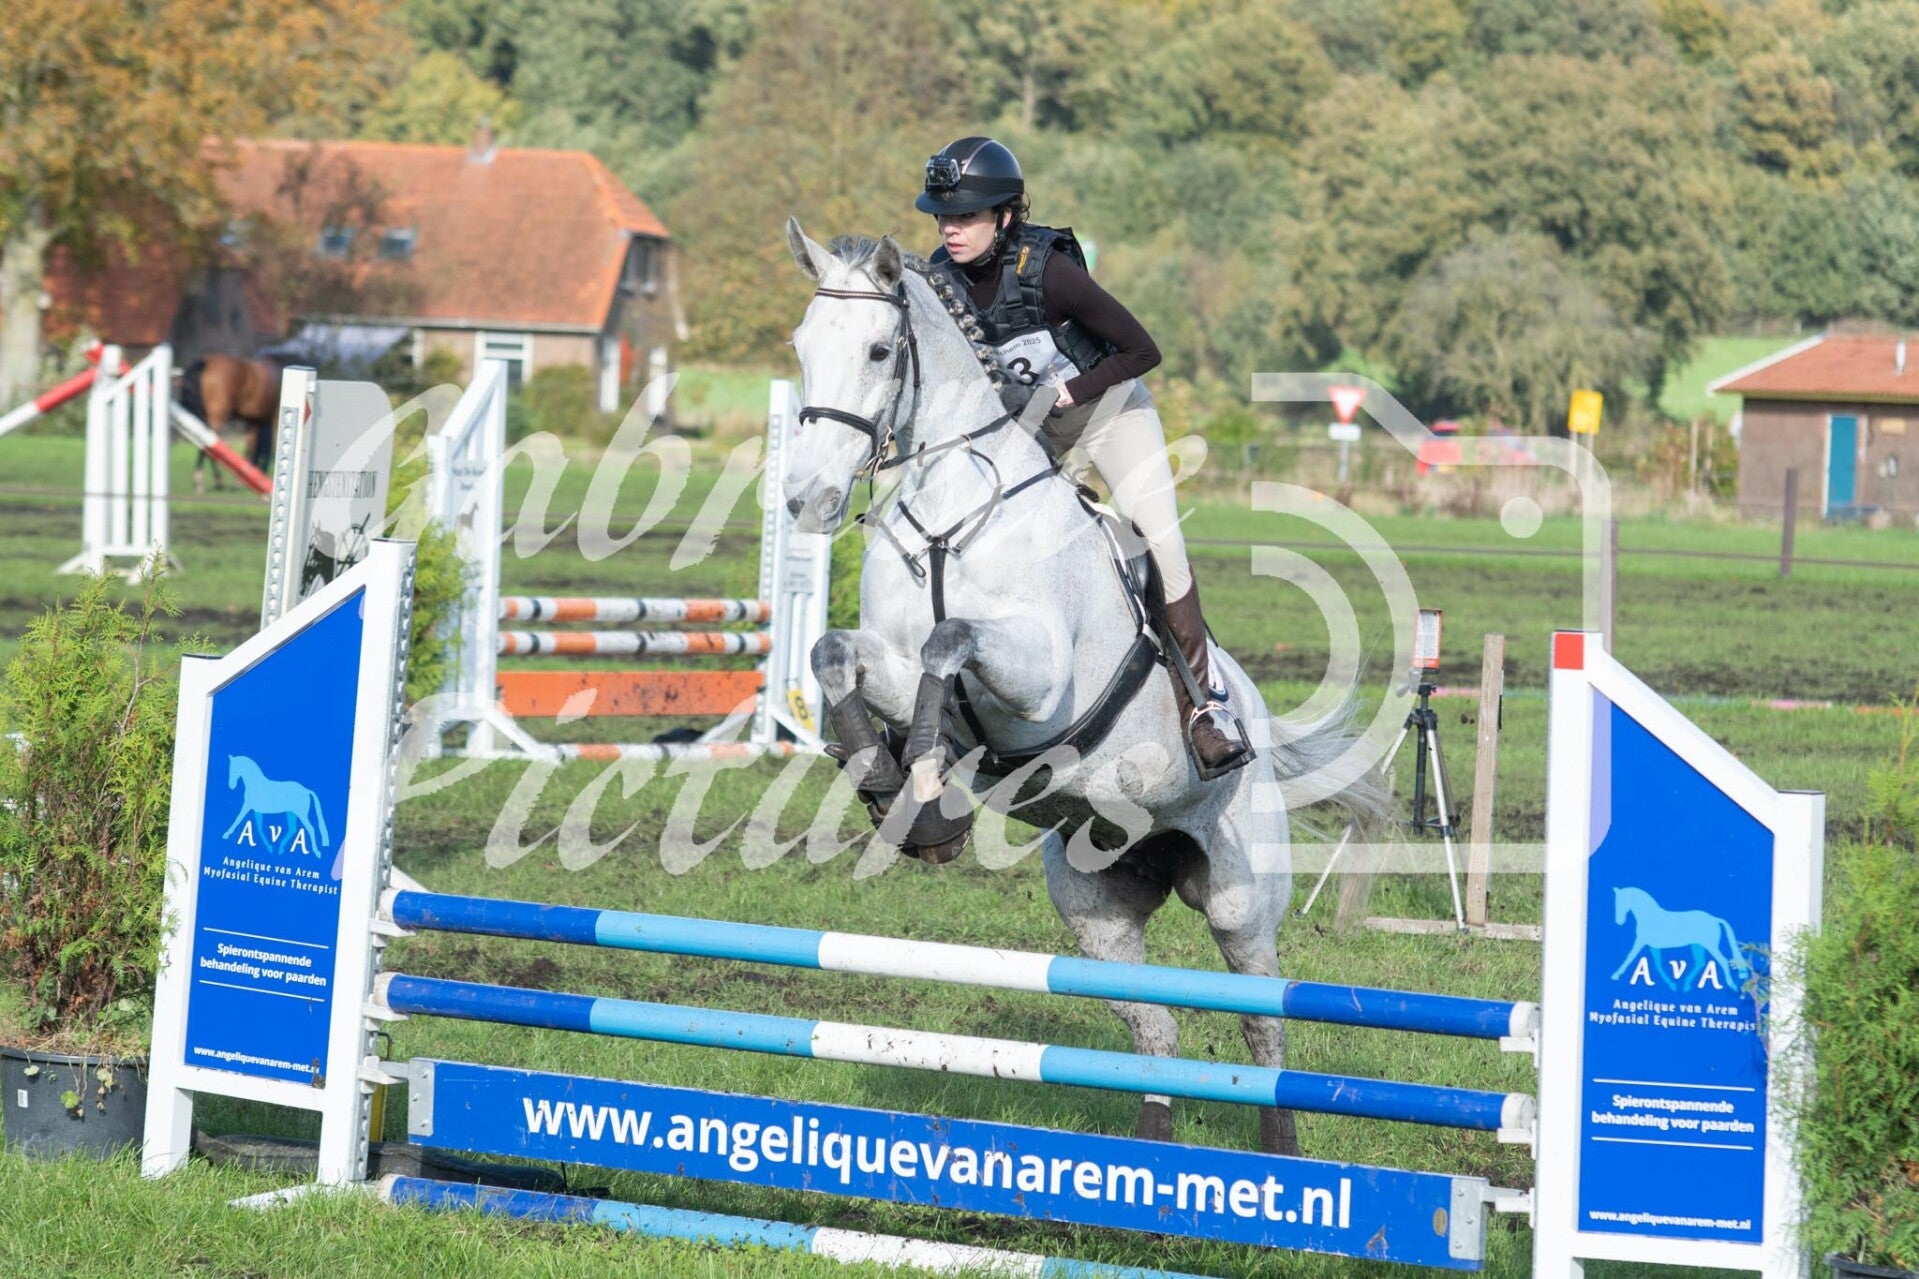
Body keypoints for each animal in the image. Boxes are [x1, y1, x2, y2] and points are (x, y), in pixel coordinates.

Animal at [179, 354, 281, 492]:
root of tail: (205, 363)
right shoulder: (273, 418)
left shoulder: (253, 421)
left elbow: (251, 446)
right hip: (217, 416)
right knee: (207, 445)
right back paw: (203, 481)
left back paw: (215, 481)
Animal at [781, 221, 1389, 1156]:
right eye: (802, 347)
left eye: (880, 350)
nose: (805, 500)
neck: (953, 507)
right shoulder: (887, 658)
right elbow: (833, 653)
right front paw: (895, 791)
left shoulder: (1036, 681)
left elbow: (949, 641)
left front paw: (921, 791)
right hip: (1095, 907)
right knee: (1155, 1028)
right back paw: (1148, 1153)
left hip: (1239, 899)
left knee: (1262, 1019)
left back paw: (1281, 1150)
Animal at [1610, 886, 1751, 992]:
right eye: (1616, 902)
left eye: (1622, 902)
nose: (1618, 922)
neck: (1650, 917)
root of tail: (1714, 919)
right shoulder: (1653, 947)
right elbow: (1658, 965)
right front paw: (1672, 984)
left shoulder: (1640, 942)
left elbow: (1629, 957)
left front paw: (1616, 975)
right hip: (1697, 946)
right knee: (1700, 962)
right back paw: (1686, 985)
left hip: (1709, 945)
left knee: (1722, 960)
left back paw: (1732, 986)